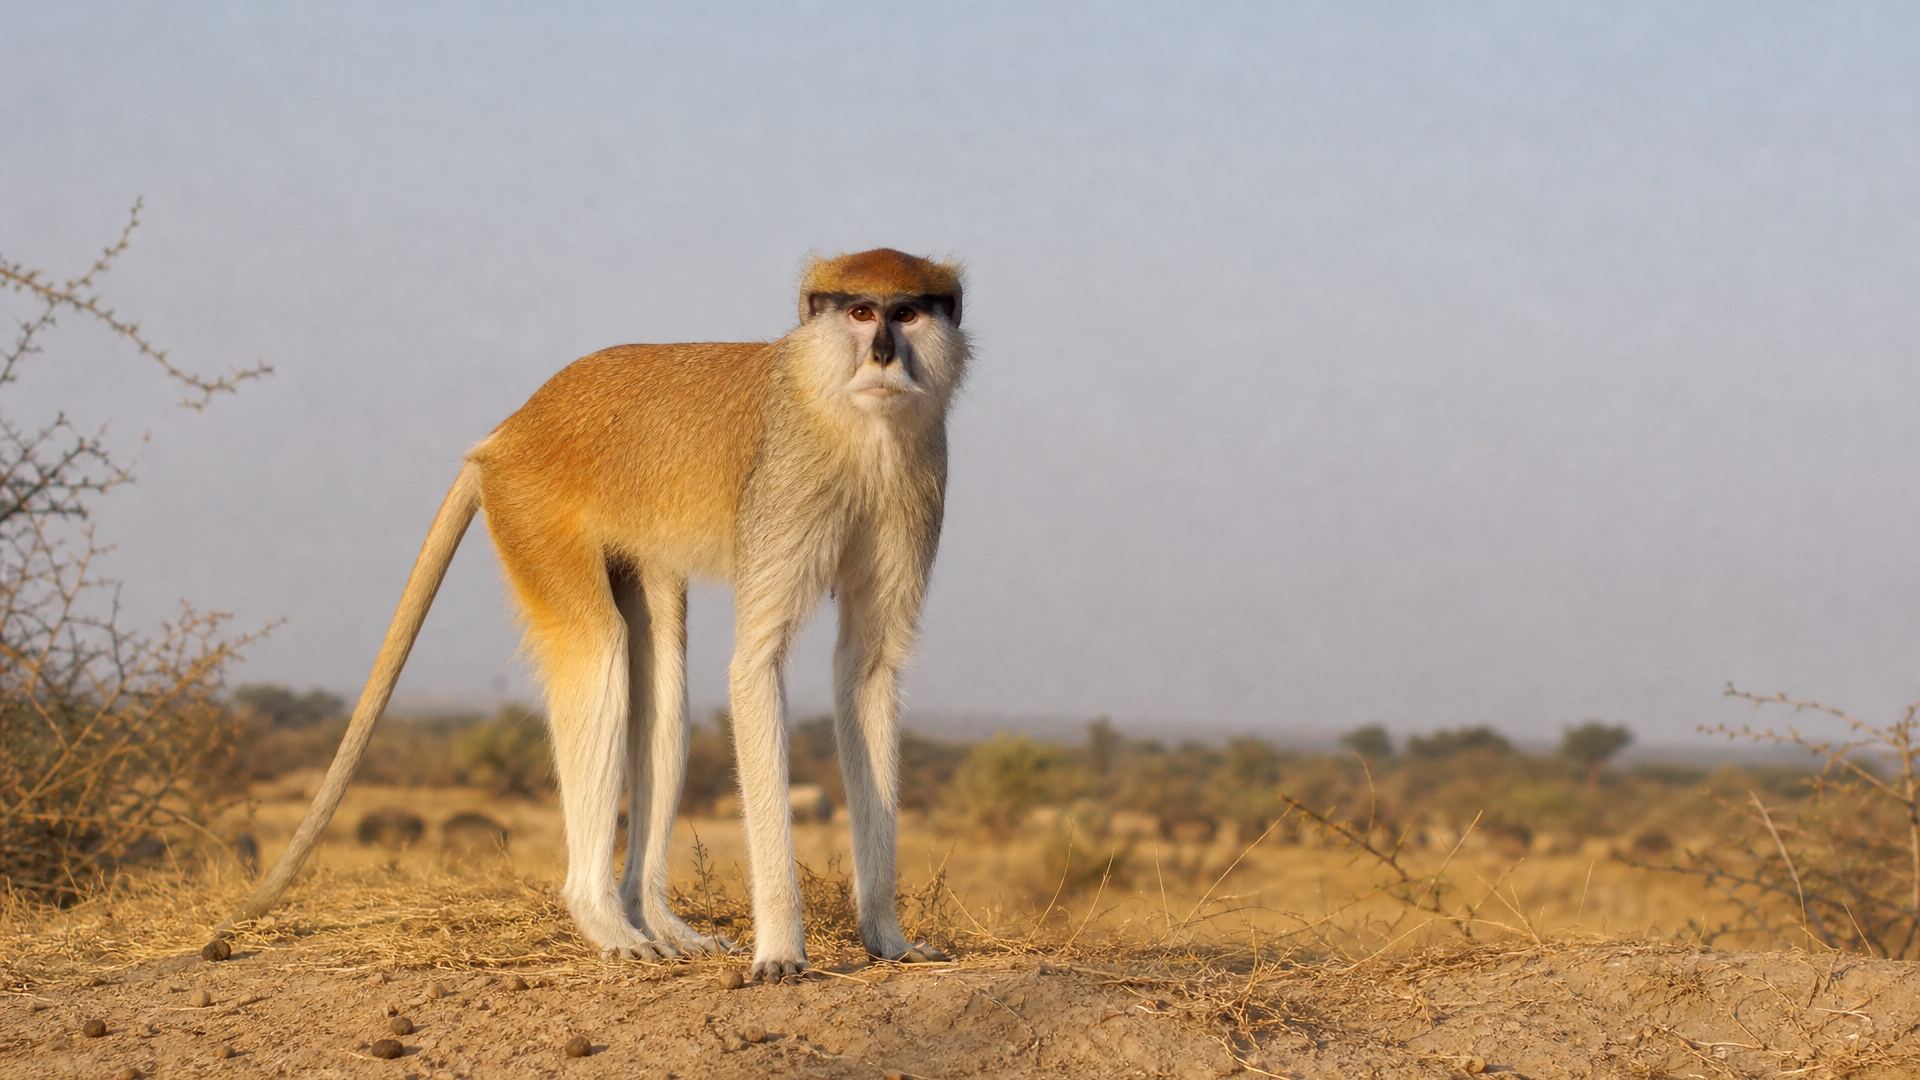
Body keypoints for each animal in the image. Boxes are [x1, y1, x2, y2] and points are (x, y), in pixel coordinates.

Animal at [222, 249, 967, 980]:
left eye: (906, 312)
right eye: (861, 311)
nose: (882, 354)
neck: (845, 415)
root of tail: (509, 430)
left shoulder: (913, 487)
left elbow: (868, 669)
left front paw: (888, 936)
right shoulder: (788, 488)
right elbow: (757, 662)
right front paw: (781, 948)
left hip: (629, 538)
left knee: (661, 675)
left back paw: (652, 915)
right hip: (531, 512)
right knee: (597, 648)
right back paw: (601, 916)